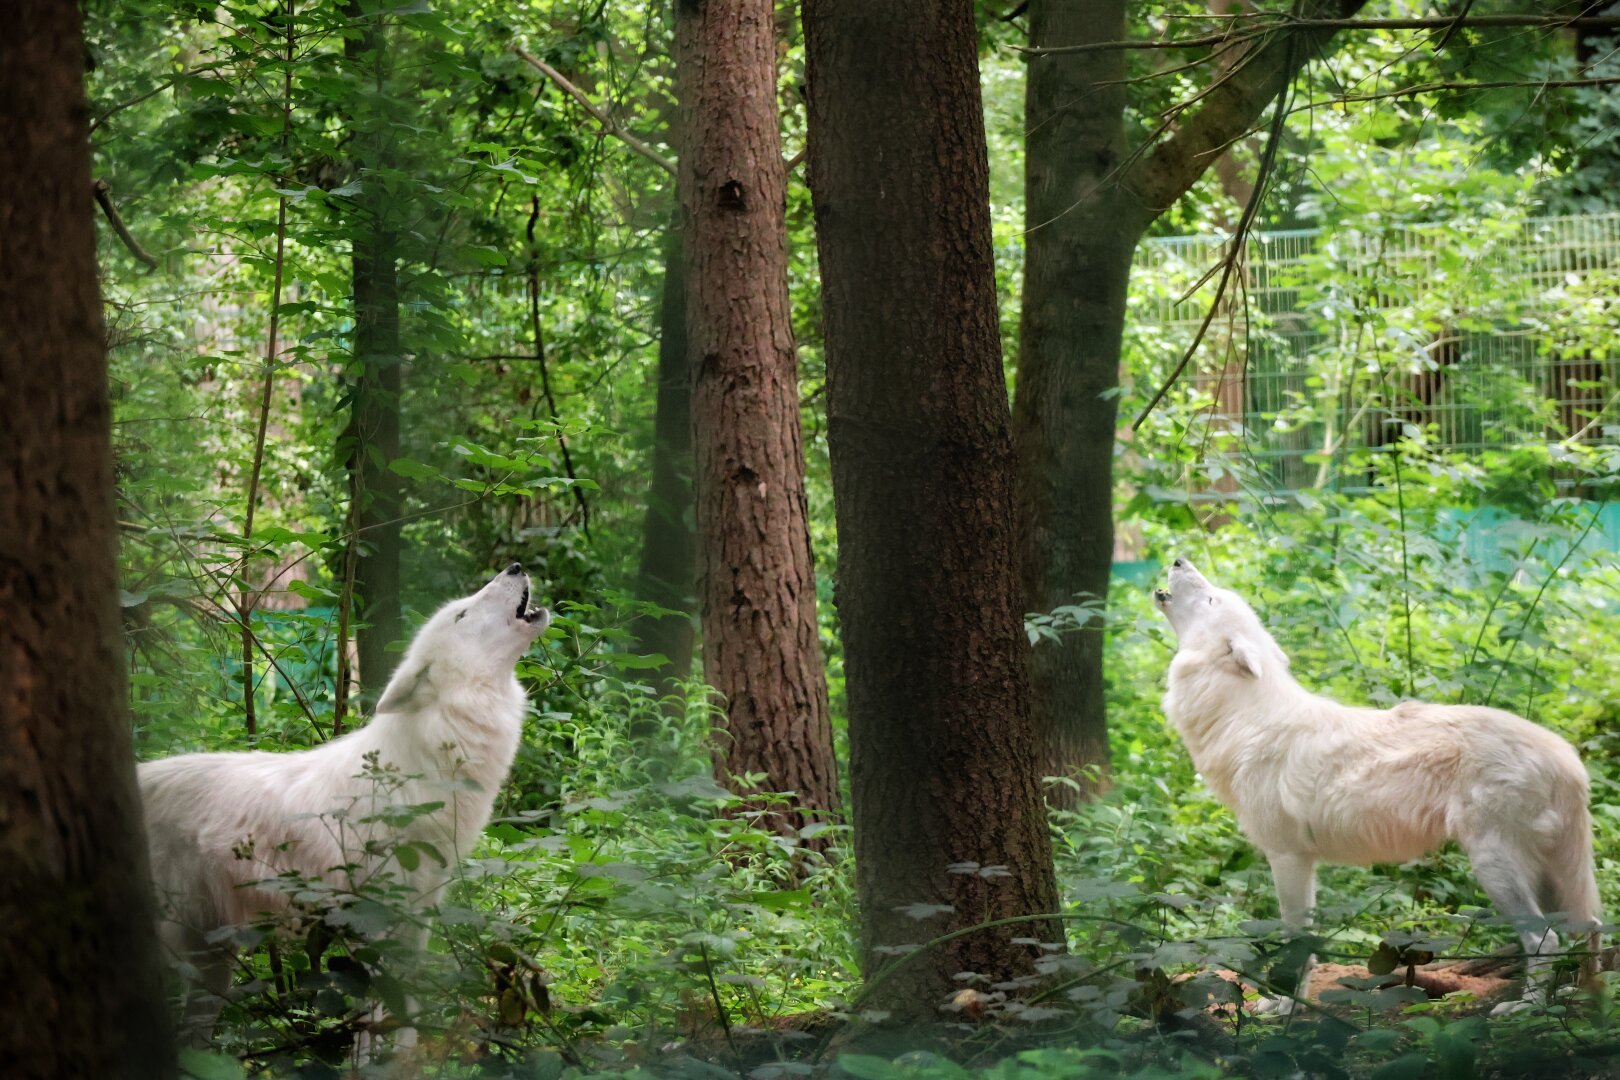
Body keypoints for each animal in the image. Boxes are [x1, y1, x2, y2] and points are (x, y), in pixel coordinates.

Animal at [140, 563, 550, 1041]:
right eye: (462, 615)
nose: (515, 567)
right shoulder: (373, 925)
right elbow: (376, 1021)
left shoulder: (415, 920)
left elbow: (404, 1022)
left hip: (212, 962)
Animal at [1154, 558, 1600, 1013]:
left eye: (1213, 598)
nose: (1179, 560)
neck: (1245, 717)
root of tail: (1567, 758)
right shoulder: (1305, 863)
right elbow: (1307, 945)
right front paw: (1285, 1003)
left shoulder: (1286, 856)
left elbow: (1294, 941)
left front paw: (1286, 1009)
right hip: (1547, 875)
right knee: (1587, 928)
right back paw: (1574, 997)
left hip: (1495, 867)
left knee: (1546, 938)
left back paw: (1527, 1007)